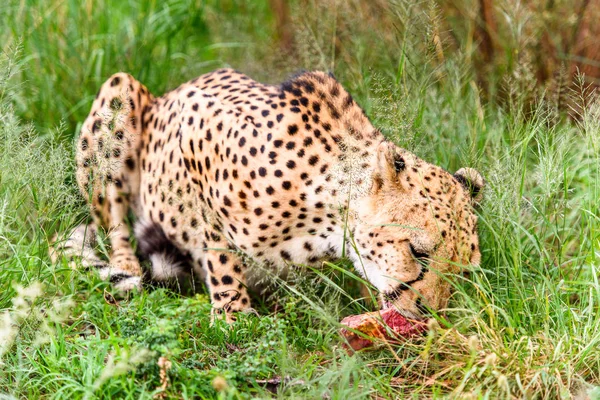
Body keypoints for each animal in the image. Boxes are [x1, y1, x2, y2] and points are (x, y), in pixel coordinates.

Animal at [54, 69, 486, 322]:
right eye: (418, 253)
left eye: (463, 273)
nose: (430, 313)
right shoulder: (195, 133)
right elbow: (218, 249)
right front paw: (234, 315)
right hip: (120, 90)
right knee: (112, 220)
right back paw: (126, 265)